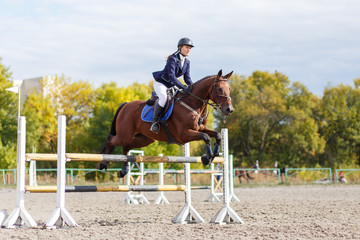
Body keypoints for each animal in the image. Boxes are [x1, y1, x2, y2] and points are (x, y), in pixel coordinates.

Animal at [96, 69, 233, 178]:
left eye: (229, 89)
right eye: (220, 89)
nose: (229, 110)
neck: (192, 104)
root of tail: (125, 105)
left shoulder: (200, 128)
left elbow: (217, 135)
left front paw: (213, 155)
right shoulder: (183, 135)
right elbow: (205, 137)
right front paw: (206, 157)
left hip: (144, 139)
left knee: (126, 147)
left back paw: (123, 170)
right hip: (125, 135)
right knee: (111, 140)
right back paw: (102, 163)